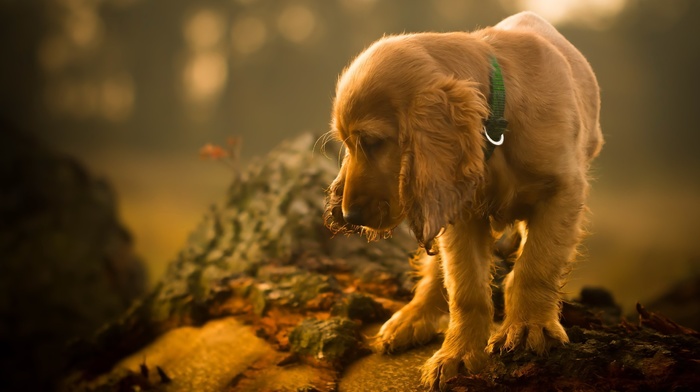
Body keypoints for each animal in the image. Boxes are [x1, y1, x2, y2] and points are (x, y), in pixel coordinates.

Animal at [322, 10, 600, 390]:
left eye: (373, 142)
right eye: (347, 144)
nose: (348, 215)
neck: (497, 125)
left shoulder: (562, 192)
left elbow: (536, 265)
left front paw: (528, 328)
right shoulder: (459, 209)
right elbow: (466, 289)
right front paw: (459, 355)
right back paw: (411, 318)